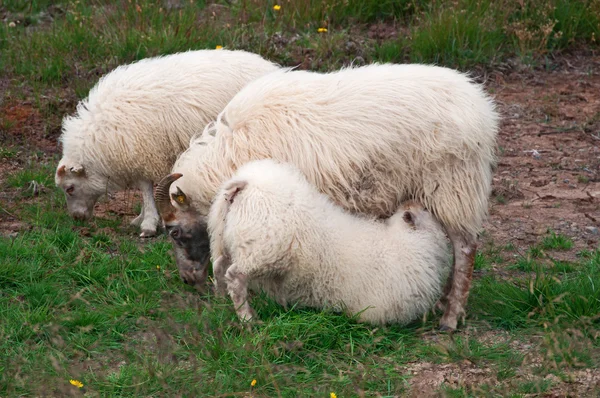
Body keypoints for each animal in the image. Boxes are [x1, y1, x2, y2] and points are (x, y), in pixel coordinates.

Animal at [54, 49, 278, 236]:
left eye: (70, 188)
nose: (77, 219)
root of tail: (270, 66)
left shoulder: (143, 148)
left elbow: (145, 187)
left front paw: (149, 223)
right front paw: (142, 217)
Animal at [206, 158, 450, 324]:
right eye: (427, 211)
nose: (412, 201)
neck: (402, 242)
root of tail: (246, 183)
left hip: (228, 239)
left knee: (218, 266)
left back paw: (220, 300)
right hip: (262, 252)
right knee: (235, 277)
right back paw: (248, 319)